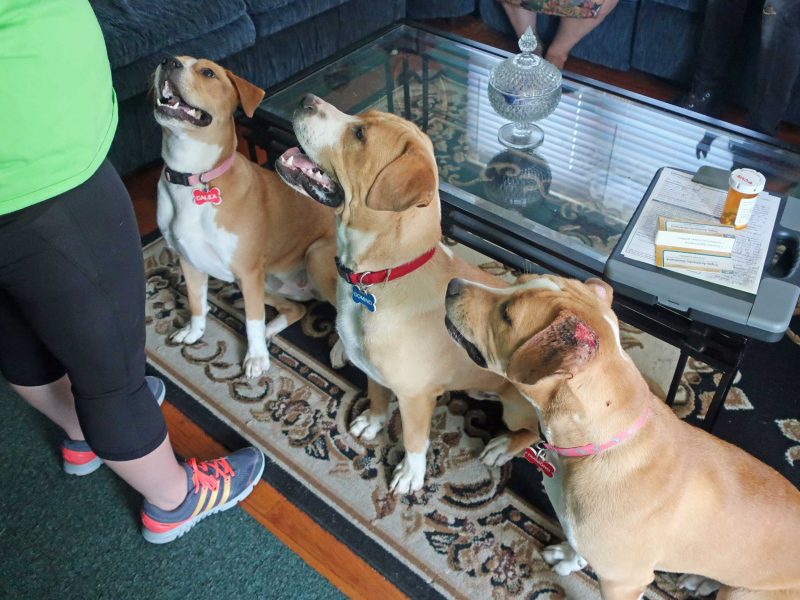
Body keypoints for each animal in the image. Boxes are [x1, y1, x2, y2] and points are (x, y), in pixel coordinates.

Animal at [153, 56, 338, 376]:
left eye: (208, 72)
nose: (168, 61)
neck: (191, 177)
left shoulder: (248, 272)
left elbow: (252, 319)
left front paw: (256, 357)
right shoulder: (189, 261)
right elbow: (196, 303)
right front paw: (194, 332)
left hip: (315, 255)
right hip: (265, 282)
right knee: (296, 309)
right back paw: (270, 331)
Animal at [276, 96, 536, 494]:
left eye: (359, 134)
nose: (306, 99)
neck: (378, 276)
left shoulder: (416, 397)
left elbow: (415, 440)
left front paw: (409, 475)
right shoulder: (373, 369)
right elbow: (377, 396)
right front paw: (373, 422)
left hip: (521, 410)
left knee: (535, 435)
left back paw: (503, 445)